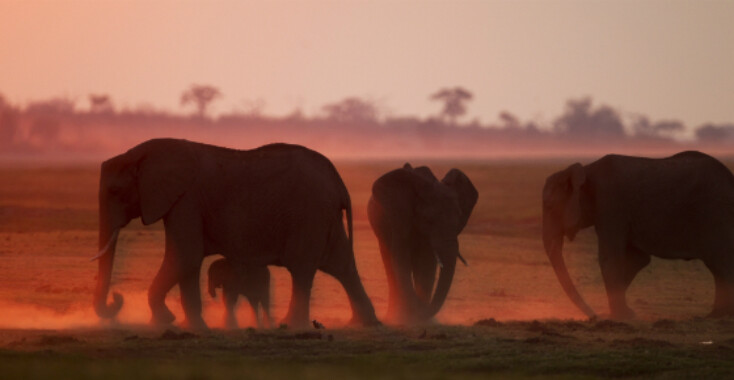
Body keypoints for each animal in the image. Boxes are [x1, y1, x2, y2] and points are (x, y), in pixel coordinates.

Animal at [92, 139, 380, 330]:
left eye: (116, 191)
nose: (117, 299)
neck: (142, 153)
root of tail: (338, 181)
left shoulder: (186, 201)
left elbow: (185, 255)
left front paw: (164, 321)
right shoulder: (183, 202)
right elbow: (187, 262)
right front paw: (191, 327)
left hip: (310, 214)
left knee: (302, 270)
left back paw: (291, 326)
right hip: (324, 216)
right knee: (342, 266)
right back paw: (364, 324)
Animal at [366, 163, 478, 324]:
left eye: (458, 218)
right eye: (429, 220)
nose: (422, 306)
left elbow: (426, 262)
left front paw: (417, 317)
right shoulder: (399, 218)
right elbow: (401, 259)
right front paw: (408, 317)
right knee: (389, 262)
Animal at [544, 150, 734, 320]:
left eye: (550, 207)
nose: (594, 316)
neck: (586, 170)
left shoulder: (611, 206)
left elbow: (610, 258)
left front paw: (621, 316)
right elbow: (638, 259)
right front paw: (626, 313)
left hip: (717, 214)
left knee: (720, 264)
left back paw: (716, 316)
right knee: (719, 267)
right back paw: (717, 315)